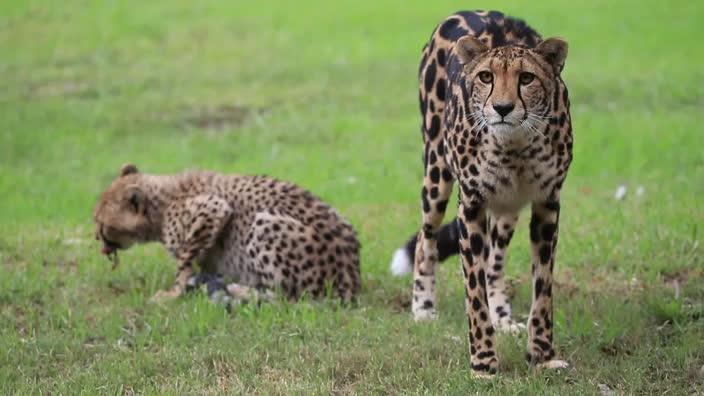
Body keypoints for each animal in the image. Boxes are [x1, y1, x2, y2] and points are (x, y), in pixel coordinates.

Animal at [92, 164, 364, 304]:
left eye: (101, 224)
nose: (98, 242)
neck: (161, 201)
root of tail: (351, 281)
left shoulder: (213, 209)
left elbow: (184, 259)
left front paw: (174, 292)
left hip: (263, 223)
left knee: (286, 296)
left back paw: (239, 290)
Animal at [394, 10, 576, 376]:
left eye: (526, 78)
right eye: (486, 77)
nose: (503, 108)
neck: (516, 145)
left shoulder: (547, 203)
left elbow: (543, 288)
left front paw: (542, 355)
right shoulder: (472, 206)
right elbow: (473, 291)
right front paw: (483, 362)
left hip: (509, 206)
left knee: (495, 259)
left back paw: (502, 316)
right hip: (436, 174)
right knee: (426, 239)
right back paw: (423, 308)